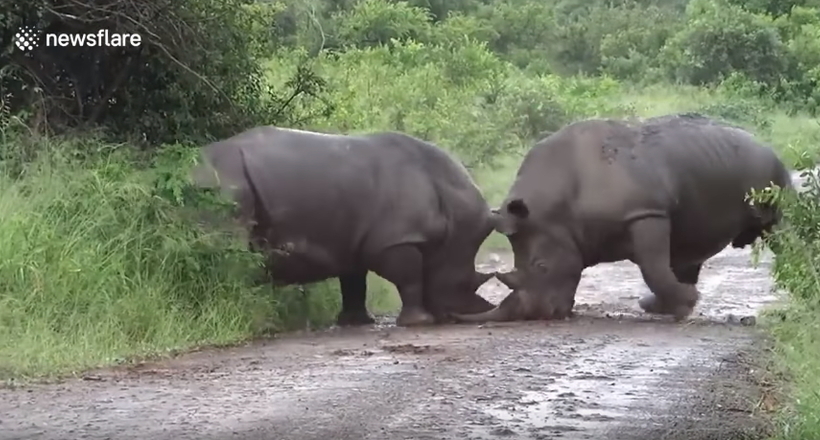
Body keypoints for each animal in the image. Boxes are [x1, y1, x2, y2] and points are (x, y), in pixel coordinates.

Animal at [191, 126, 496, 326]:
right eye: (464, 283)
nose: (472, 314)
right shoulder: (397, 238)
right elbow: (410, 276)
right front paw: (420, 322)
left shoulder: (354, 240)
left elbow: (354, 281)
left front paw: (356, 322)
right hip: (223, 185)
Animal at [452, 112, 792, 324]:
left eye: (541, 267)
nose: (539, 315)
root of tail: (766, 144)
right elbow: (659, 265)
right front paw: (676, 304)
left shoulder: (645, 213)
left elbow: (653, 266)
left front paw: (688, 302)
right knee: (687, 248)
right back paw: (659, 306)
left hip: (771, 178)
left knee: (778, 231)